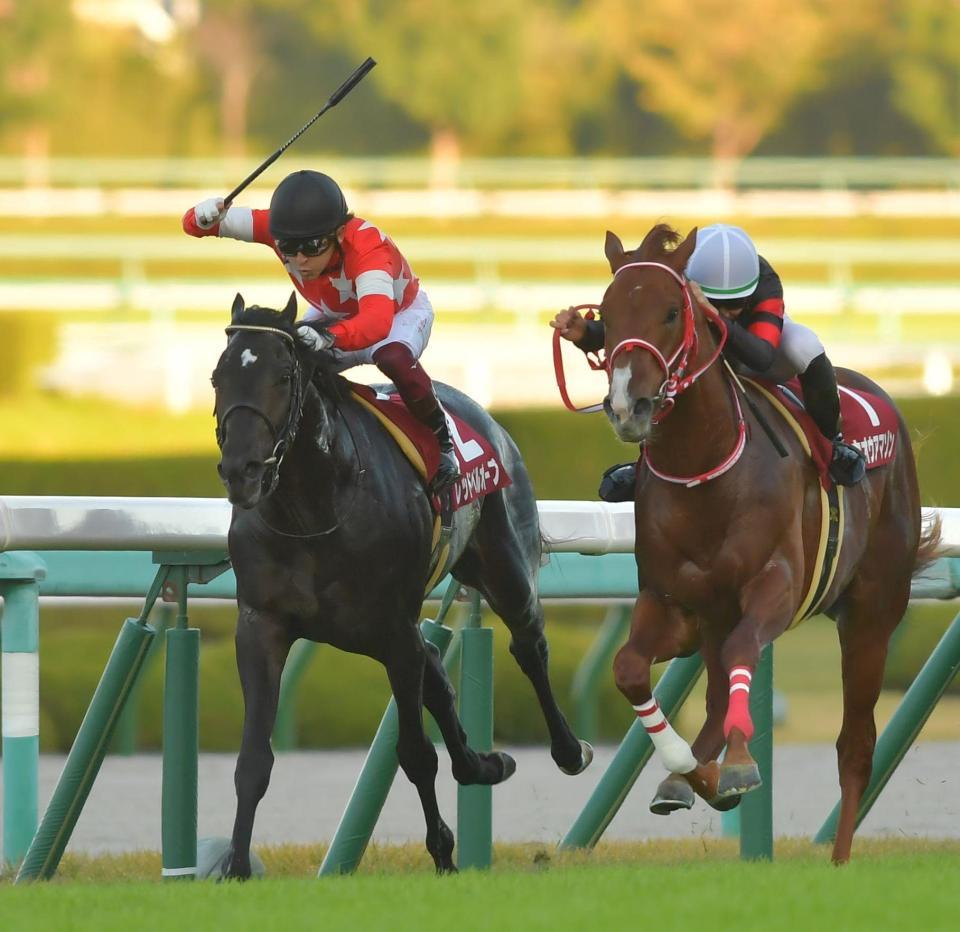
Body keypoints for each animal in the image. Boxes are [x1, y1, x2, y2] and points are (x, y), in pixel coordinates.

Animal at [210, 294, 592, 876]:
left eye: (283, 375)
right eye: (218, 378)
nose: (242, 471)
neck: (316, 507)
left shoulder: (392, 629)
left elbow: (415, 754)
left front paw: (443, 855)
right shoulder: (263, 625)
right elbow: (253, 760)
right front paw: (234, 867)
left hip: (503, 566)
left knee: (528, 645)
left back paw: (569, 750)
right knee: (436, 669)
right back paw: (485, 763)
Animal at [600, 222, 936, 864]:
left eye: (671, 312)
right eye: (604, 316)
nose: (630, 407)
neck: (706, 473)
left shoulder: (775, 587)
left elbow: (740, 655)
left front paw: (735, 767)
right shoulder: (675, 604)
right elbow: (629, 668)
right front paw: (691, 770)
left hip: (872, 615)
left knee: (856, 745)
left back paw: (839, 857)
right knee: (712, 700)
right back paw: (687, 778)